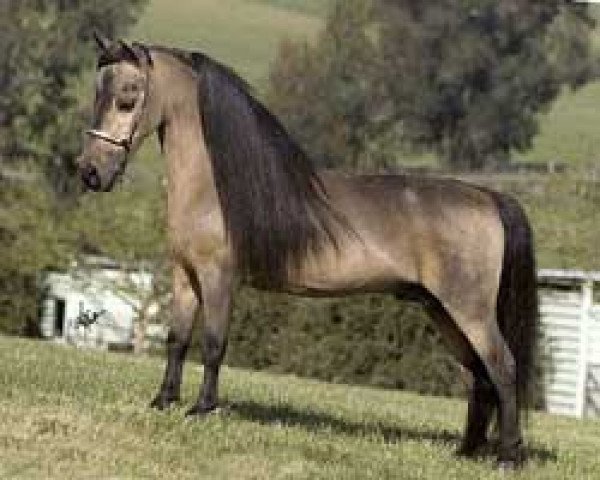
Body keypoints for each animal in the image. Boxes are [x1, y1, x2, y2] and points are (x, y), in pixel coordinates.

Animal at [76, 31, 540, 466]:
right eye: (96, 92)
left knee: (503, 367)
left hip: (469, 310)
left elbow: (213, 343)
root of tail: (490, 198)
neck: (215, 187)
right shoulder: (186, 275)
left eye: (127, 97)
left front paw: (202, 408)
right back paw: (466, 451)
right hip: (441, 310)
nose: (89, 172)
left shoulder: (219, 278)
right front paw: (163, 401)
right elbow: (176, 339)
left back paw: (508, 455)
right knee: (477, 375)